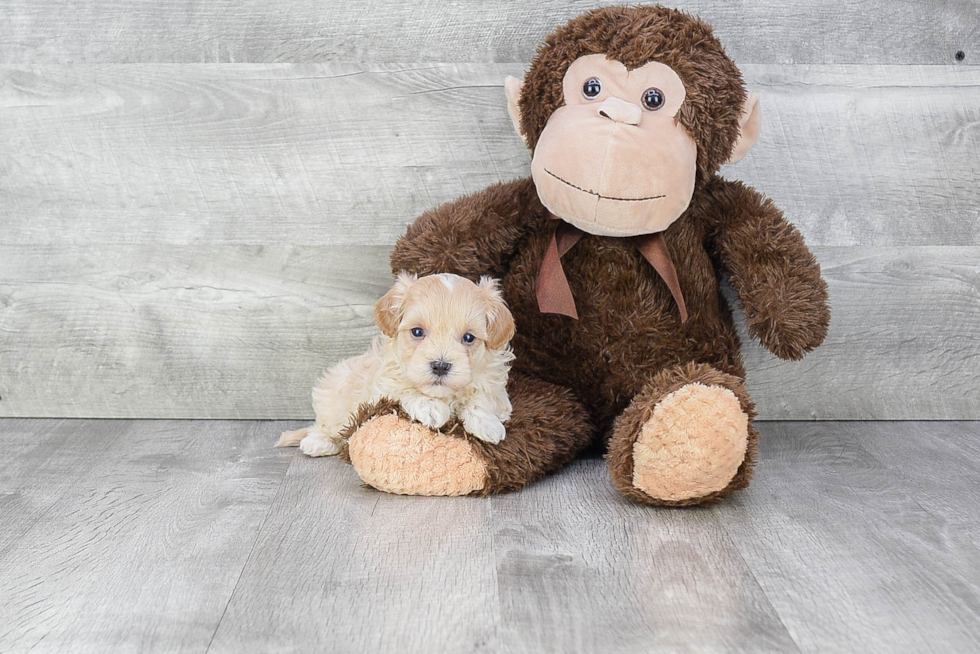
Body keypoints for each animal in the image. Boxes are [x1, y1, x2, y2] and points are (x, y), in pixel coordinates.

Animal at [276, 272, 516, 456]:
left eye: (468, 338)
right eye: (417, 332)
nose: (440, 366)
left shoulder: (496, 388)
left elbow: (483, 397)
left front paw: (487, 423)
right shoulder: (378, 391)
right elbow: (402, 390)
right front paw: (430, 406)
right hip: (334, 393)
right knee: (325, 424)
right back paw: (318, 441)